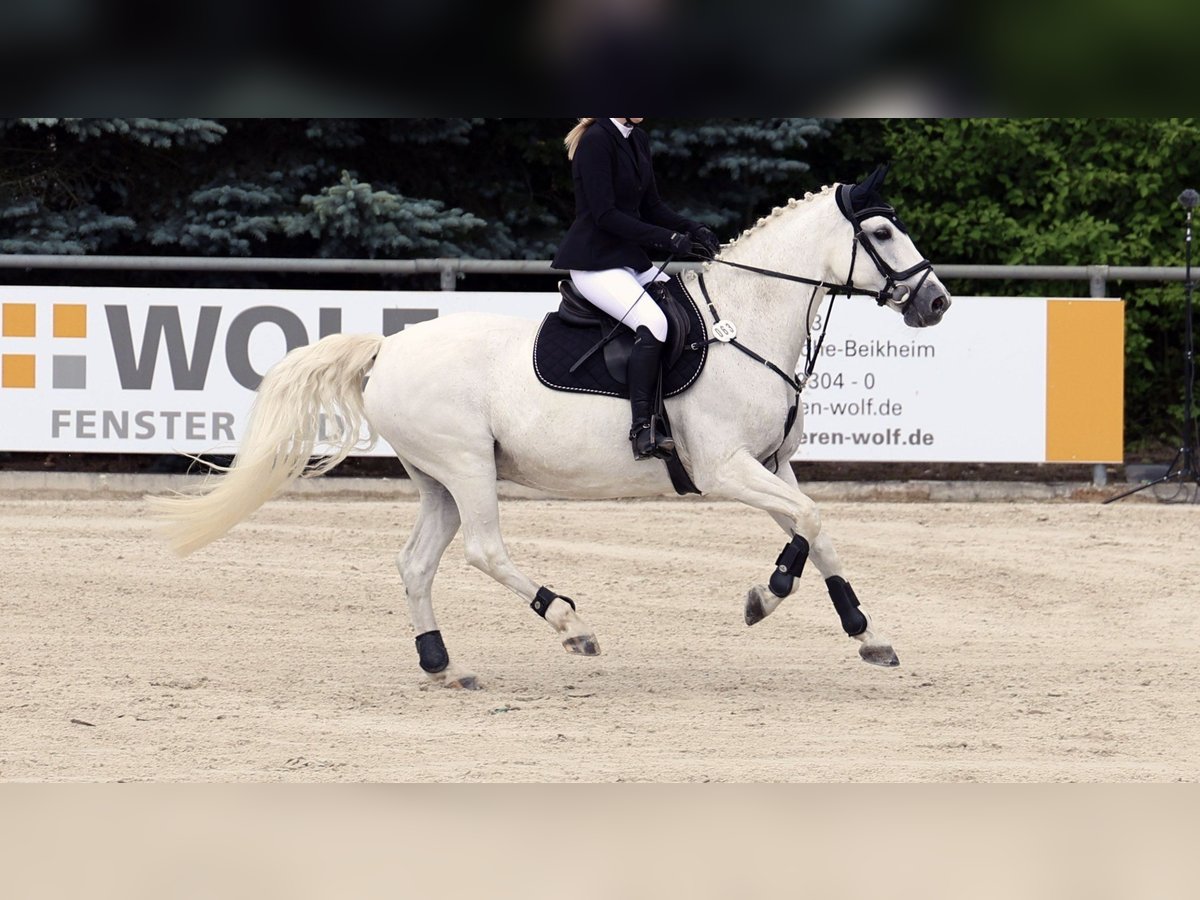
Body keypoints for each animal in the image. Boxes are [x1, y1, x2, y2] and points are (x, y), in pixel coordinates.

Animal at [150, 170, 950, 691]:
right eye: (882, 231)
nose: (936, 301)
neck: (743, 325)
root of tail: (387, 348)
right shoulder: (725, 468)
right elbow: (810, 522)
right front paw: (780, 599)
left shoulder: (771, 464)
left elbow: (815, 529)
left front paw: (853, 628)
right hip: (468, 467)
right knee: (482, 550)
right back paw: (569, 624)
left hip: (438, 479)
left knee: (416, 563)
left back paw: (441, 664)